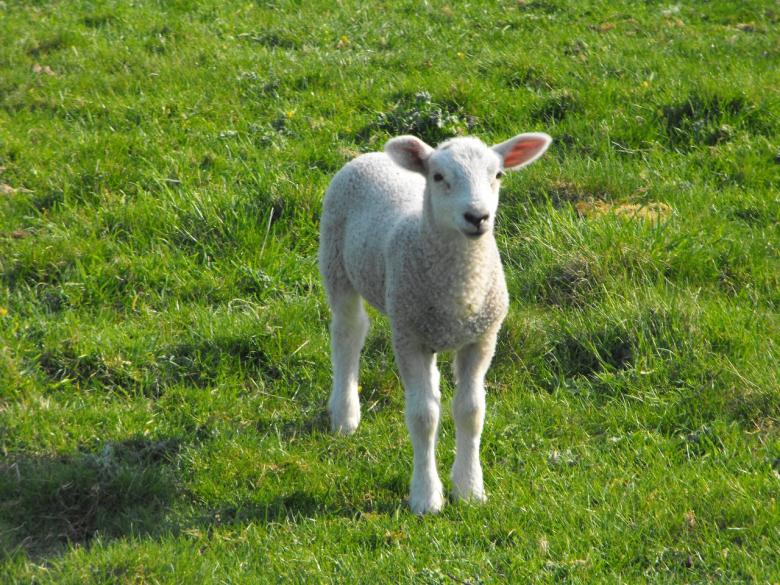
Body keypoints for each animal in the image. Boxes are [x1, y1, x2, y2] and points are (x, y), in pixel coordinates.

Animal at [318, 132, 552, 514]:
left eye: (498, 175)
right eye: (439, 177)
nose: (477, 216)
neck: (461, 285)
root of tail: (372, 155)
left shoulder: (482, 338)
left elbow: (471, 411)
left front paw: (470, 489)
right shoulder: (408, 336)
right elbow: (423, 416)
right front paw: (426, 497)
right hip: (336, 264)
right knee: (348, 333)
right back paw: (344, 415)